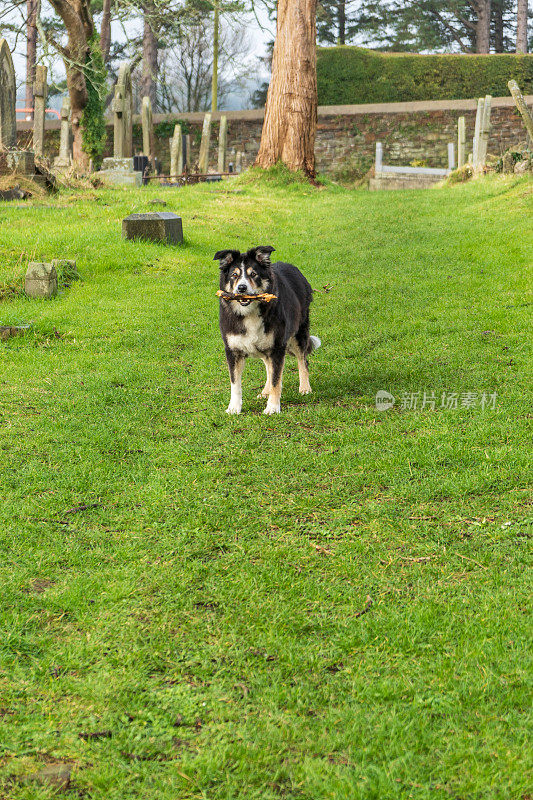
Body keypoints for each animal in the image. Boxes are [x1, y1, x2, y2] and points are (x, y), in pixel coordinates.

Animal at [215, 245, 320, 416]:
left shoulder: (277, 347)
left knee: (302, 360)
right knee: (268, 366)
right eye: (234, 275)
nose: (241, 288)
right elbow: (235, 383)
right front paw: (234, 408)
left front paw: (272, 407)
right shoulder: (232, 350)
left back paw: (305, 388)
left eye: (253, 274)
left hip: (298, 334)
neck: (249, 312)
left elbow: (277, 379)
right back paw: (265, 391)